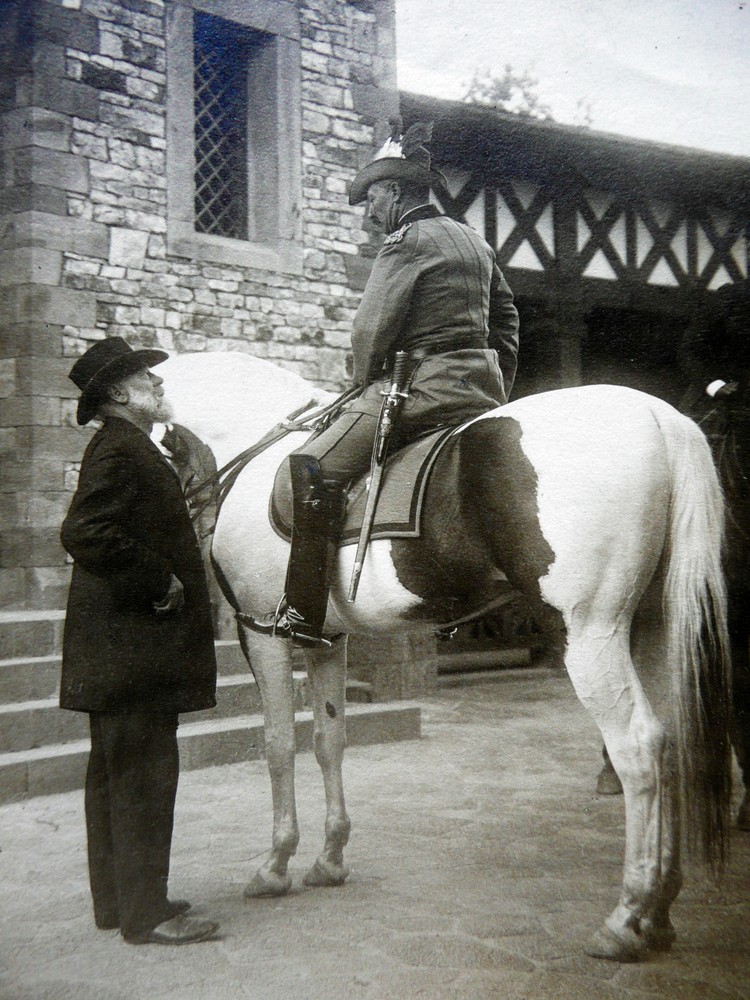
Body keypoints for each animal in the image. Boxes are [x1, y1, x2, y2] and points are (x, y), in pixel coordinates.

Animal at [160, 350, 736, 960]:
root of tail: (660, 417)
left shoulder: (263, 633)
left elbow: (276, 746)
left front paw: (275, 864)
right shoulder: (327, 641)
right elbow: (328, 741)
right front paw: (330, 857)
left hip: (593, 634)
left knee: (639, 749)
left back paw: (627, 917)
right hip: (652, 627)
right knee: (673, 743)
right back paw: (661, 910)